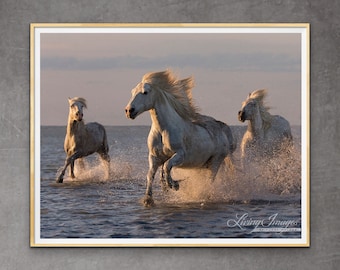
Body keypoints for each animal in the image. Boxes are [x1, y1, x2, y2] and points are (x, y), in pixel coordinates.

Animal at [125, 70, 236, 207]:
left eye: (145, 92)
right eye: (132, 92)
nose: (129, 111)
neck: (163, 130)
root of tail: (224, 131)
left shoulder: (180, 155)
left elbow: (167, 166)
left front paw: (174, 185)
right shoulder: (154, 157)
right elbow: (150, 175)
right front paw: (148, 199)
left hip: (215, 162)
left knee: (210, 180)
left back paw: (205, 196)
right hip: (203, 165)